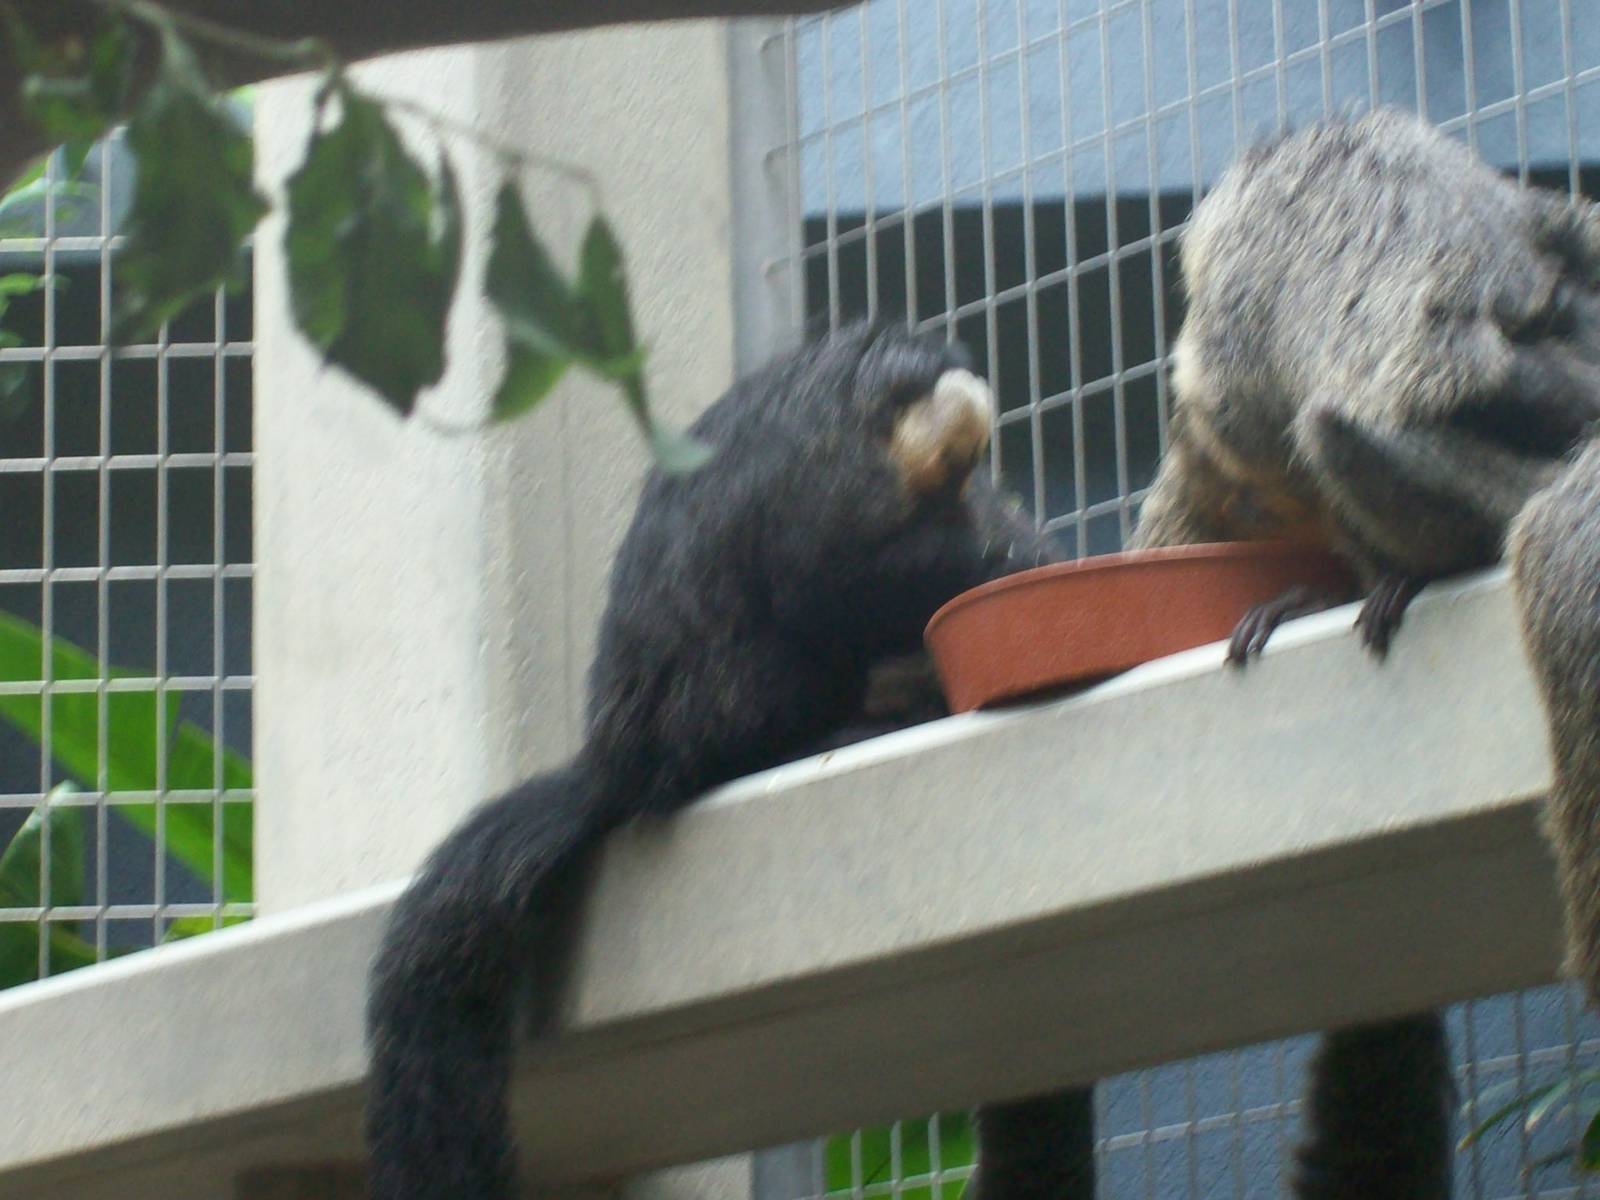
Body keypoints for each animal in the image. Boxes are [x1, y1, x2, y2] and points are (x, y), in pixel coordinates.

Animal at [365, 323, 1073, 1200]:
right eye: (955, 452)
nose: (964, 473)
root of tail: (620, 760)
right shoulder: (824, 457)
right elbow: (827, 571)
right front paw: (985, 561)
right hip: (715, 712)